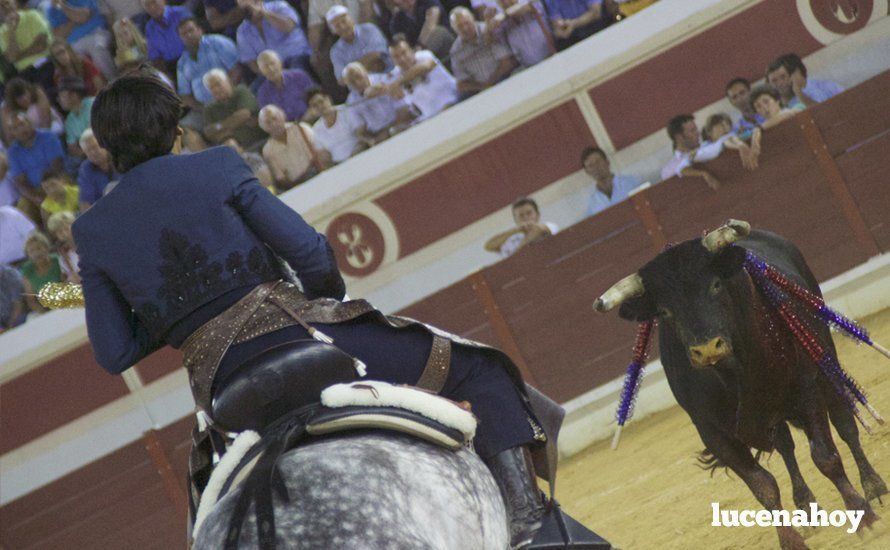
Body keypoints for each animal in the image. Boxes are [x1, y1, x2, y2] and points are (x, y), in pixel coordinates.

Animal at [596, 225, 880, 550]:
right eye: (665, 311)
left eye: (716, 284)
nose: (707, 349)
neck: (731, 372)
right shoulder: (713, 432)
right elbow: (763, 486)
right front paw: (791, 540)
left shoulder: (806, 390)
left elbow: (825, 457)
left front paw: (863, 515)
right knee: (786, 446)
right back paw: (807, 508)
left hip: (824, 363)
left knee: (845, 424)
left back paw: (873, 487)